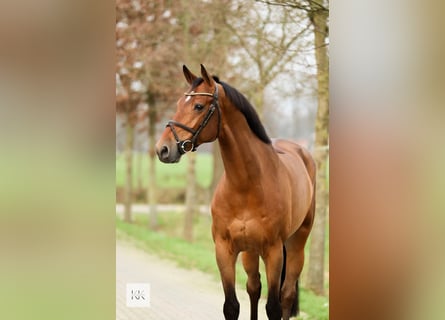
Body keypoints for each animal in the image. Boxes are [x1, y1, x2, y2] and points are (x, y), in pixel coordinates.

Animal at [156, 65, 316, 320]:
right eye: (180, 102)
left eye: (198, 106)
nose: (163, 149)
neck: (246, 185)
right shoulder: (224, 249)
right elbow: (232, 306)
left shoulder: (273, 252)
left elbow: (273, 307)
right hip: (250, 252)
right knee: (253, 288)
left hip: (296, 243)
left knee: (287, 294)